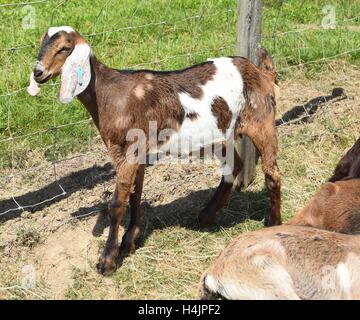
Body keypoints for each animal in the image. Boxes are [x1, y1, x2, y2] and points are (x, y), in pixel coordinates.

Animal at [27, 26, 282, 276]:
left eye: (64, 48)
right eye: (41, 43)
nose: (38, 72)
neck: (107, 93)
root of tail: (262, 73)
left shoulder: (127, 153)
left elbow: (117, 204)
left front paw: (107, 260)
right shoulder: (137, 154)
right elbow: (135, 195)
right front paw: (130, 241)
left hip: (261, 120)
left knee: (272, 173)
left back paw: (274, 223)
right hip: (220, 136)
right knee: (235, 165)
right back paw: (206, 215)